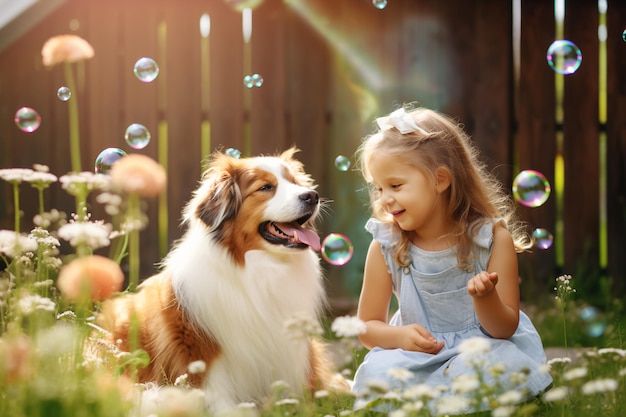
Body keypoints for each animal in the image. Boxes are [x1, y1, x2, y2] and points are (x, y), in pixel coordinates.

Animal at [94, 147, 344, 412]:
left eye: (295, 183)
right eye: (266, 187)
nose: (312, 196)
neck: (258, 268)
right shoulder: (199, 350)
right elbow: (216, 392)